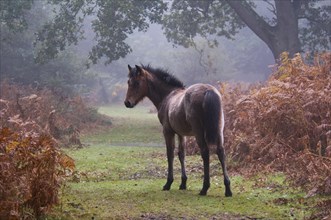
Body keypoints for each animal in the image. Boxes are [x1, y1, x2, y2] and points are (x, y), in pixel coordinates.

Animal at [125, 64, 233, 197]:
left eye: (137, 83)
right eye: (128, 82)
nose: (127, 103)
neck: (167, 96)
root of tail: (208, 91)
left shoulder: (168, 131)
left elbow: (170, 154)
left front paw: (168, 183)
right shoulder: (181, 134)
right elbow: (182, 154)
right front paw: (183, 183)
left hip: (198, 131)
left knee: (205, 152)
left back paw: (204, 188)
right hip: (219, 130)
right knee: (221, 152)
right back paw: (228, 189)